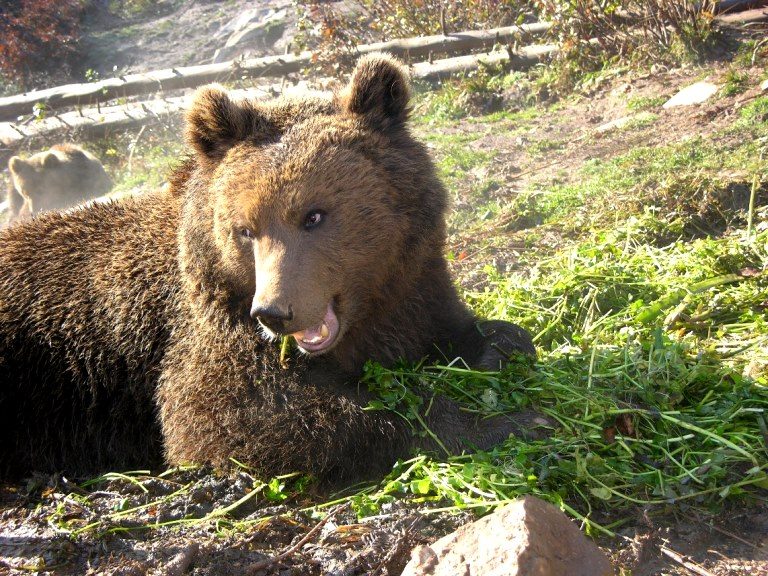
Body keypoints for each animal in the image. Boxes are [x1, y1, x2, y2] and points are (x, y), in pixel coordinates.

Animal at [0, 56, 544, 484]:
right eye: (245, 229)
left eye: (314, 215)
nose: (274, 312)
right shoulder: (209, 332)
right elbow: (236, 415)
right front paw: (498, 421)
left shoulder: (412, 289)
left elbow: (477, 331)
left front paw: (499, 350)